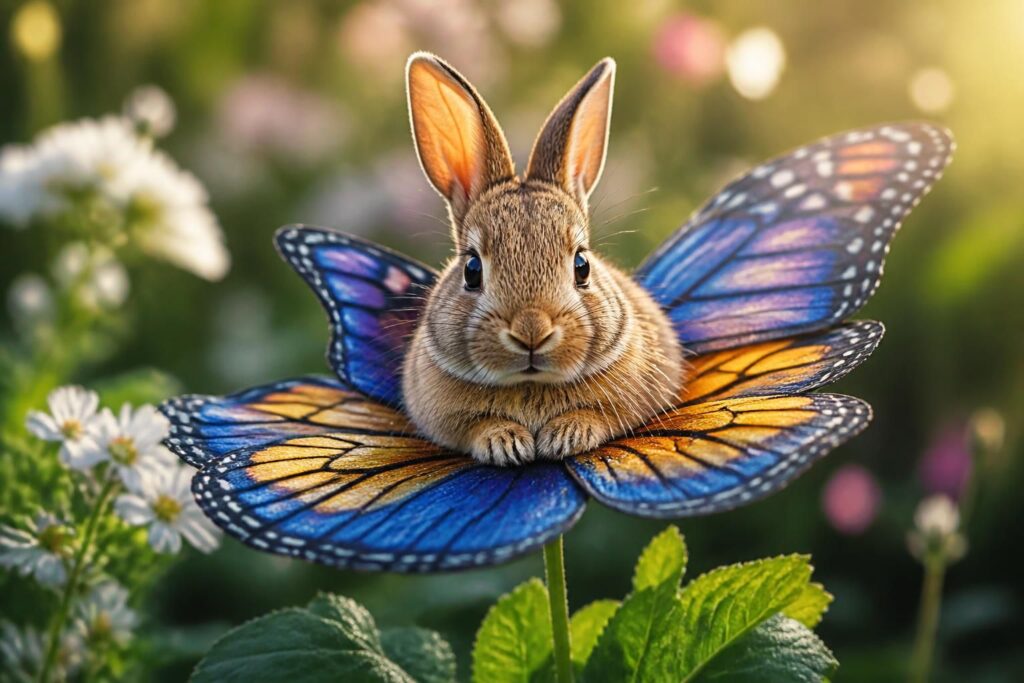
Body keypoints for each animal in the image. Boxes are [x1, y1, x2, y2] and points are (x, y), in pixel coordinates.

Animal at [402, 52, 685, 466]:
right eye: (472, 270)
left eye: (582, 265)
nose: (531, 331)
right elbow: (475, 427)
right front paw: (506, 442)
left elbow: (599, 415)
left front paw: (565, 435)